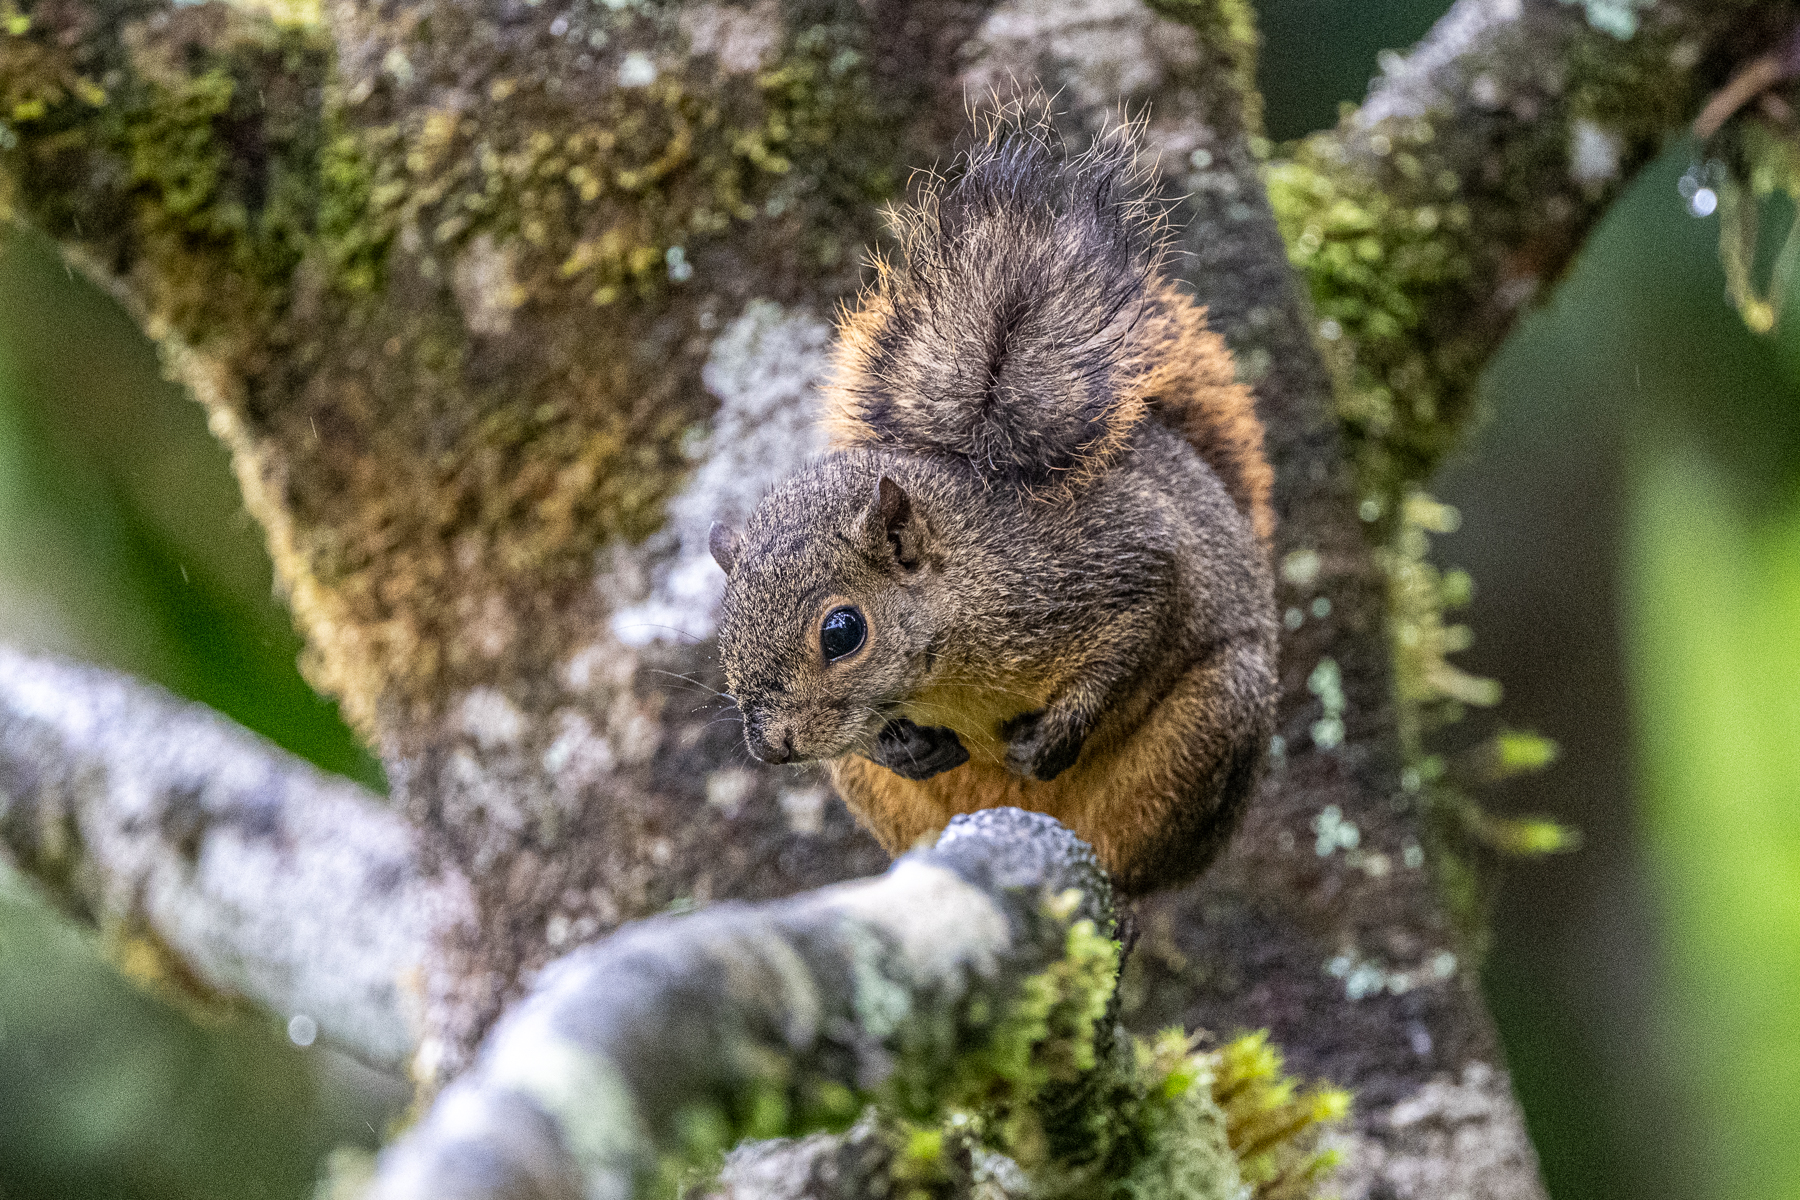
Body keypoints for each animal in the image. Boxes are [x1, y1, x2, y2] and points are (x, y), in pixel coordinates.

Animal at [707, 116, 1279, 896]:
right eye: (725, 631)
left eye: (842, 632)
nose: (770, 746)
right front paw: (901, 745)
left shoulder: (1099, 568)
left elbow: (1142, 622)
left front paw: (1057, 733)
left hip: (1213, 723)